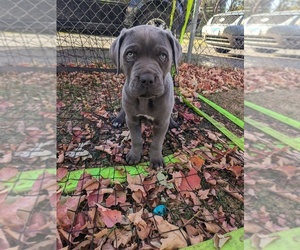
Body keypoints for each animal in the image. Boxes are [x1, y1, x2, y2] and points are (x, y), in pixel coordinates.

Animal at [109, 25, 182, 168]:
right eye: (130, 54)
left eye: (163, 56)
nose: (147, 79)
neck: (145, 100)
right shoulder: (132, 120)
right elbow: (136, 139)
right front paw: (134, 155)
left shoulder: (161, 123)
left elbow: (157, 143)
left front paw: (156, 160)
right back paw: (118, 119)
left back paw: (172, 122)